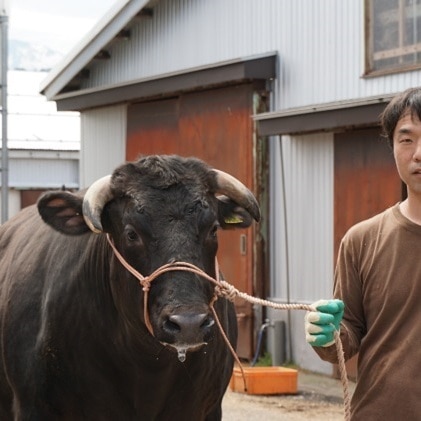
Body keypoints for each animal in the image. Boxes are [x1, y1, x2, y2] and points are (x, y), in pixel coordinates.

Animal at [0, 155, 260, 420]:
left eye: (213, 229)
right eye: (131, 233)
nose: (189, 323)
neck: (145, 364)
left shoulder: (206, 408)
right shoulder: (33, 407)